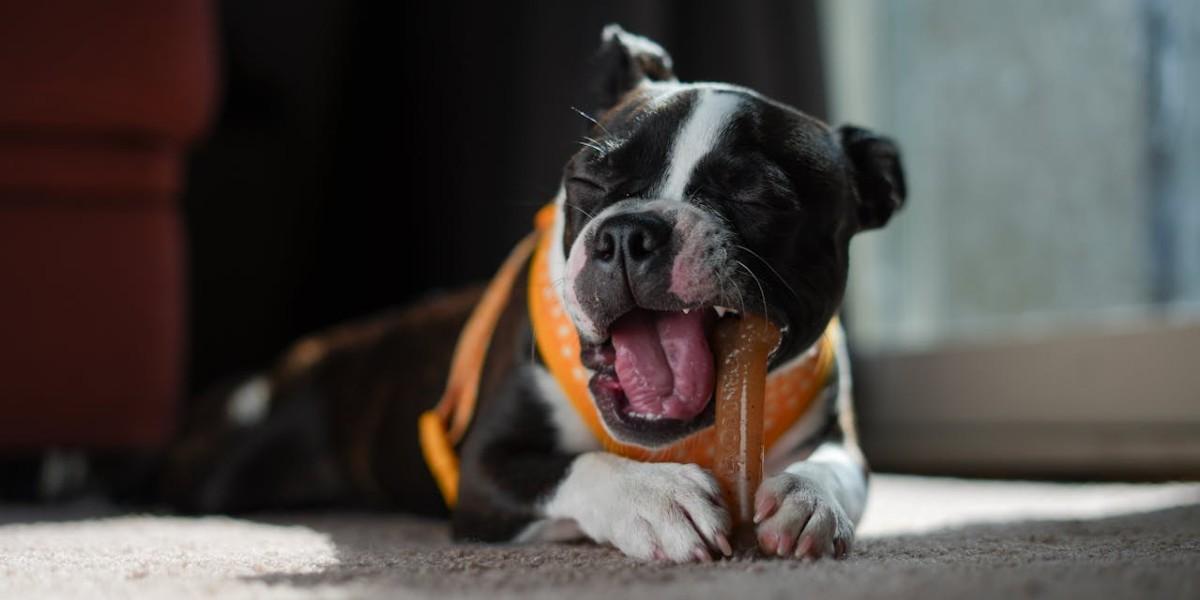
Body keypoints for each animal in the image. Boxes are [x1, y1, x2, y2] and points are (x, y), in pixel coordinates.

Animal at [159, 27, 907, 561]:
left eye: (758, 196)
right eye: (587, 182)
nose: (629, 232)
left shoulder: (835, 433)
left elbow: (841, 469)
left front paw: (810, 500)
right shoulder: (484, 471)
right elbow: (579, 467)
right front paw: (653, 498)